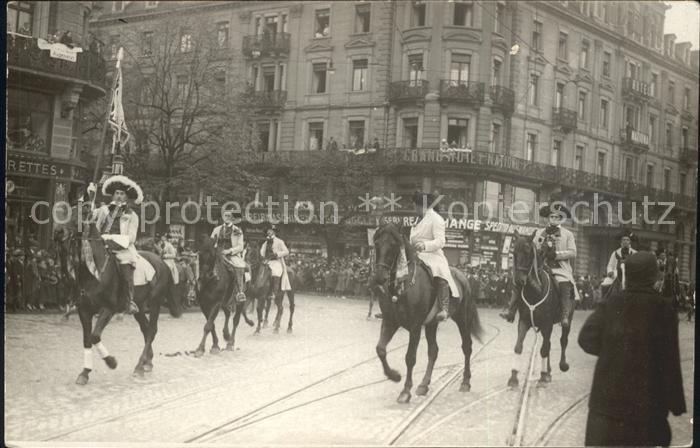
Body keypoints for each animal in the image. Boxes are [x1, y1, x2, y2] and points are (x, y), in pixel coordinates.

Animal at [54, 201, 182, 384]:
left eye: (81, 214)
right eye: (67, 211)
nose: (58, 232)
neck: (94, 272)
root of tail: (162, 262)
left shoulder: (109, 308)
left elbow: (95, 336)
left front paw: (111, 362)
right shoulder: (84, 310)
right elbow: (87, 339)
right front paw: (85, 372)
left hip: (155, 303)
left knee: (151, 330)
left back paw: (139, 366)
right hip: (139, 307)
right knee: (145, 329)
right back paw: (147, 363)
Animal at [372, 224, 482, 402]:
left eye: (393, 245)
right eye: (376, 243)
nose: (379, 278)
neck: (403, 285)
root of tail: (463, 277)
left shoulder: (415, 327)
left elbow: (410, 358)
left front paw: (405, 391)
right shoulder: (390, 321)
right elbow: (380, 349)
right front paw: (394, 376)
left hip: (463, 319)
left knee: (467, 347)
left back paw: (465, 382)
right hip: (432, 324)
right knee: (433, 351)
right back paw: (424, 385)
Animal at [508, 229, 576, 386]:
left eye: (528, 252)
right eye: (514, 252)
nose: (518, 281)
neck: (535, 292)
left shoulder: (547, 324)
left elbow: (544, 350)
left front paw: (543, 376)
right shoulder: (524, 321)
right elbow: (518, 347)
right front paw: (513, 377)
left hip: (568, 319)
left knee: (563, 340)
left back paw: (561, 366)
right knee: (549, 343)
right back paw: (549, 371)